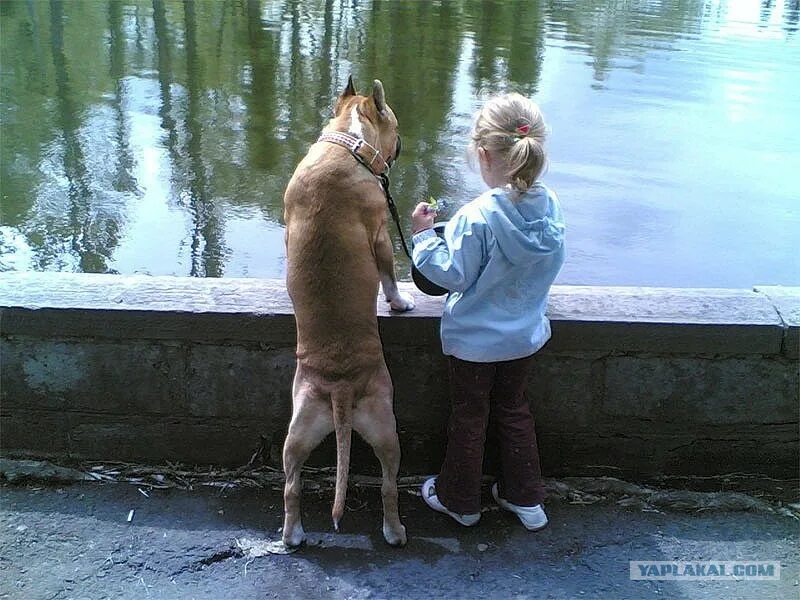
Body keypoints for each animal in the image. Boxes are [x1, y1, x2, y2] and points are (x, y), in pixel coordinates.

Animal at [280, 76, 412, 548]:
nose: (401, 143)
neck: (345, 142)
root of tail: (339, 388)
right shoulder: (380, 235)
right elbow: (389, 274)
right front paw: (400, 302)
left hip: (298, 430)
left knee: (291, 485)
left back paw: (293, 534)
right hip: (387, 431)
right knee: (389, 486)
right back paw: (394, 531)